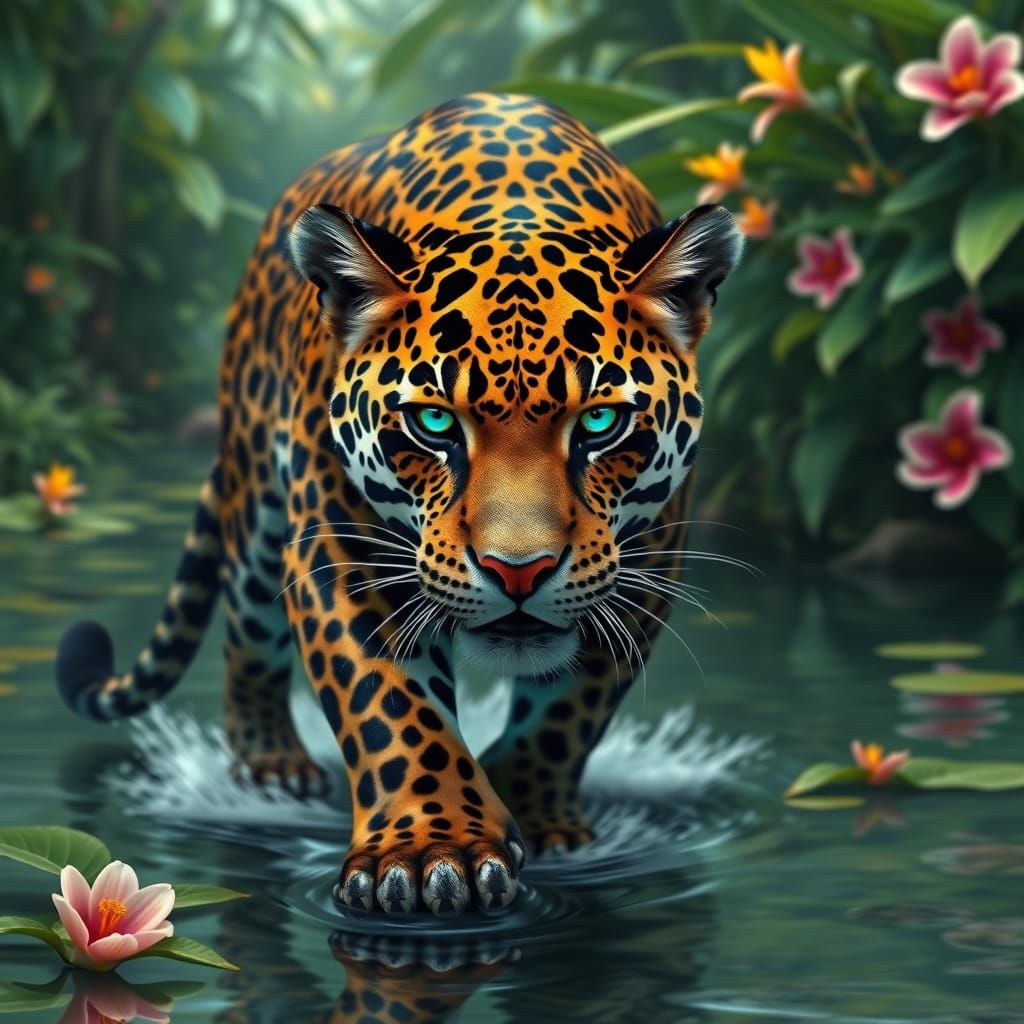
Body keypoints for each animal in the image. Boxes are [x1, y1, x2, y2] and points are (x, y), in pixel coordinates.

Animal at [56, 91, 741, 917]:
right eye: (435, 423)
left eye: (601, 423)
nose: (518, 572)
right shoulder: (344, 552)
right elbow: (391, 707)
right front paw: (429, 854)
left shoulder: (644, 563)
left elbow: (568, 712)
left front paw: (532, 817)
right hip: (254, 506)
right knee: (247, 641)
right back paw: (271, 768)